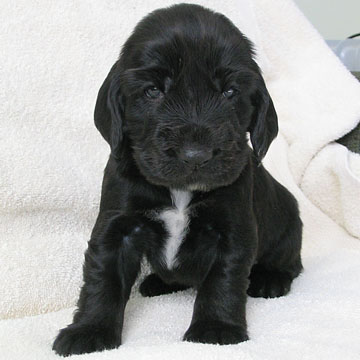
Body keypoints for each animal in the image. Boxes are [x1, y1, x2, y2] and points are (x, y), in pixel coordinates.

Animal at [52, 3, 300, 358]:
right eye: (153, 90)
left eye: (230, 92)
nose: (195, 155)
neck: (181, 191)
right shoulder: (117, 226)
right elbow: (102, 279)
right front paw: (90, 331)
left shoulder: (233, 229)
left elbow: (223, 281)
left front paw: (215, 329)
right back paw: (157, 282)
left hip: (289, 226)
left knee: (291, 261)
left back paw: (271, 279)